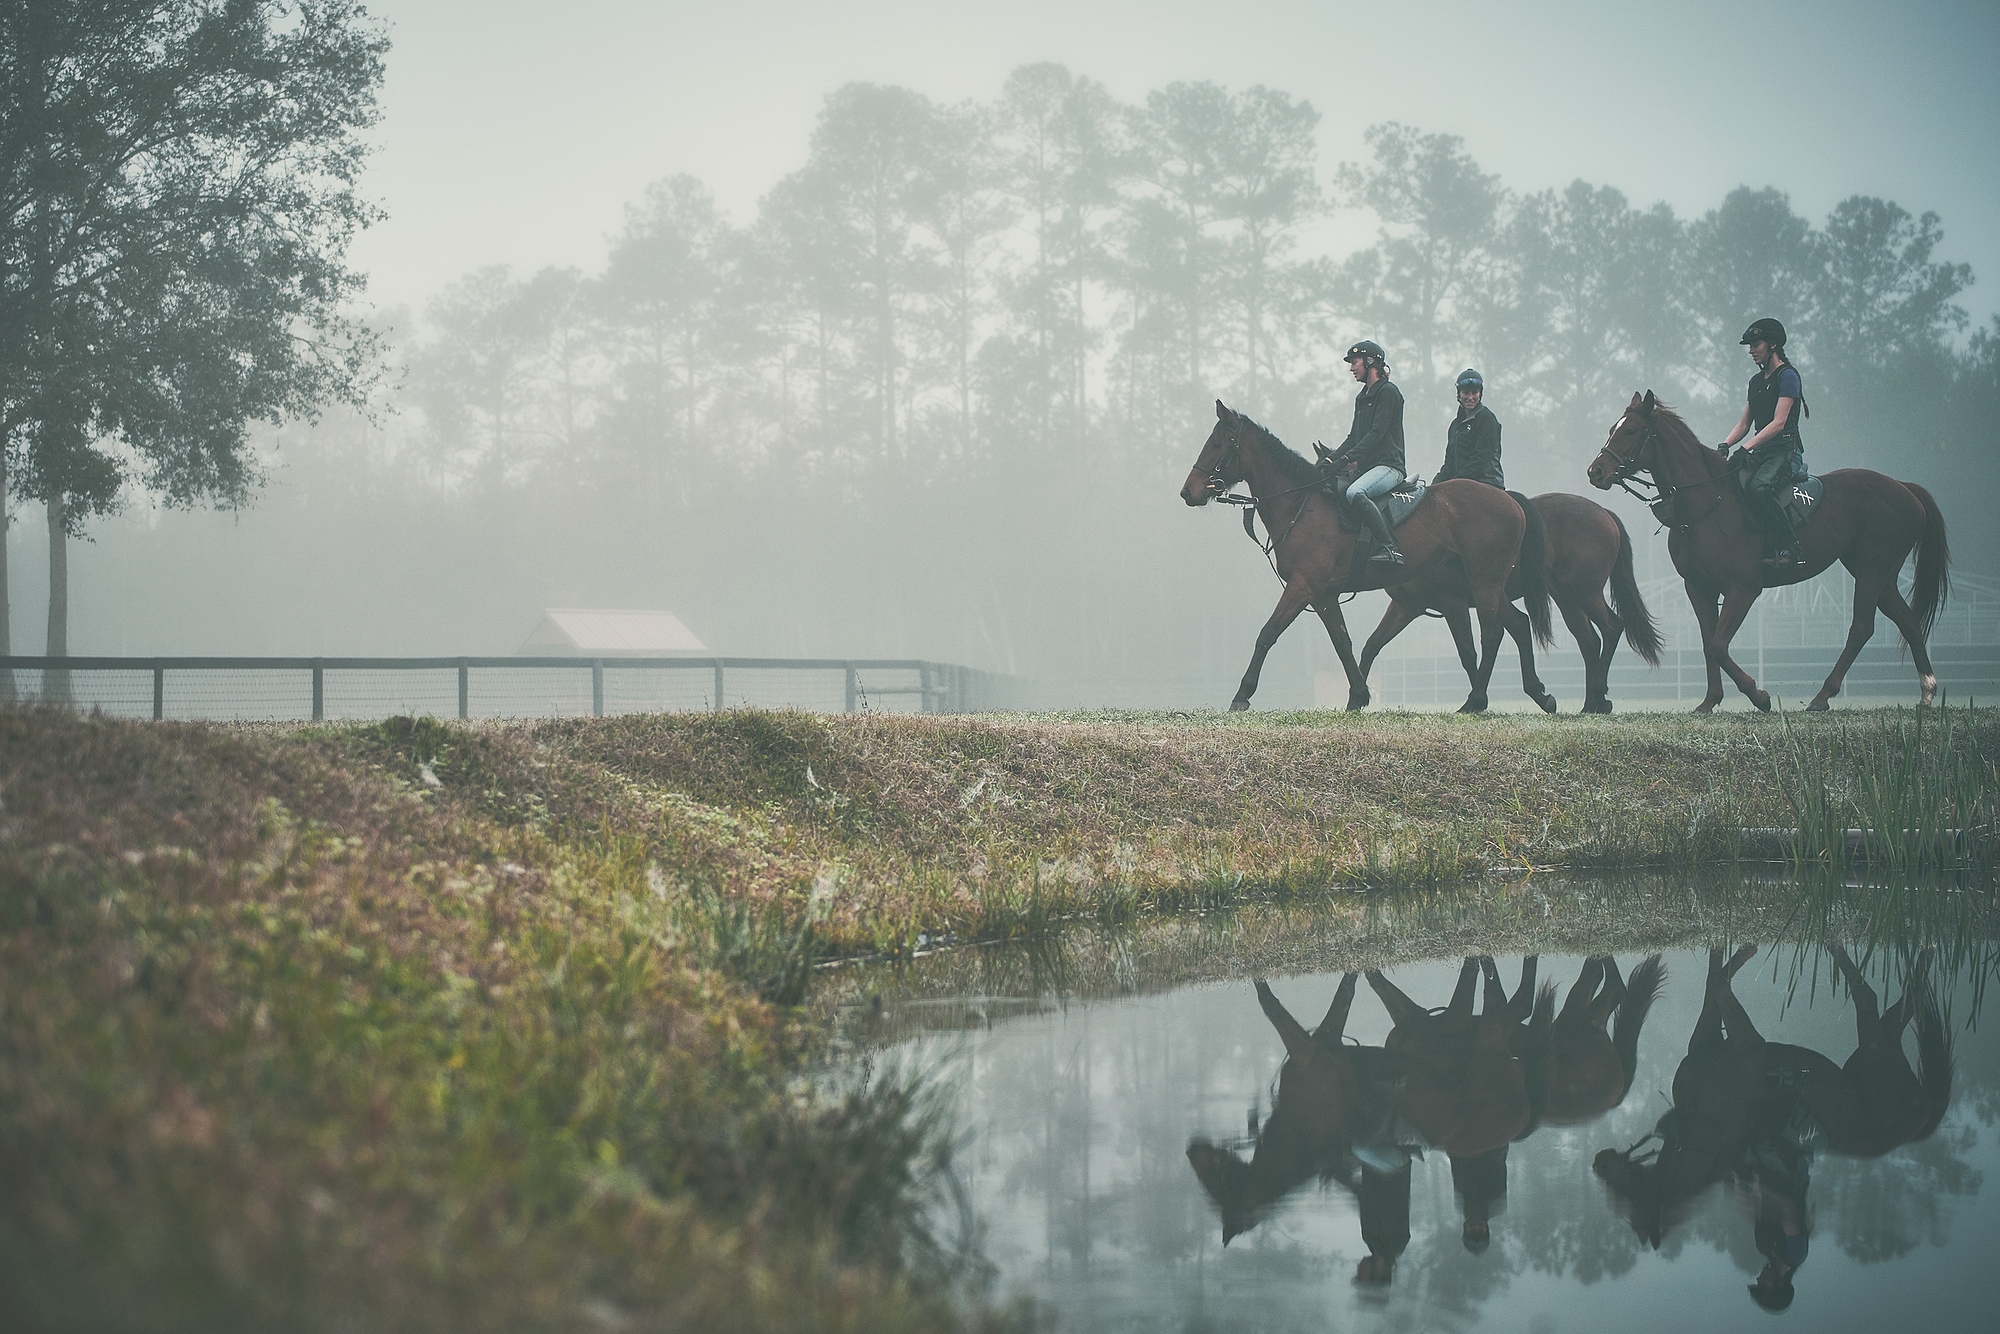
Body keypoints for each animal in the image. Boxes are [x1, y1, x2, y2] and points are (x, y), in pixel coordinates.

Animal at [1184, 400, 1544, 716]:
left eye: (1217, 443)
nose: (1188, 491)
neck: (1301, 505)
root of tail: (1508, 500)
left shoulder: (1303, 587)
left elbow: (1268, 633)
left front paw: (1242, 694)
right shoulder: (1325, 595)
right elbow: (1344, 643)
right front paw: (1358, 696)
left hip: (1484, 583)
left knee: (1493, 634)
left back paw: (1477, 699)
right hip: (1489, 585)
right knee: (1517, 623)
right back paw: (1538, 694)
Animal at [1352, 490, 1664, 716]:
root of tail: (1604, 513)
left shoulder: (1454, 605)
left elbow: (1468, 653)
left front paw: (1477, 699)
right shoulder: (1406, 608)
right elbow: (1372, 645)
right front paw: (1357, 696)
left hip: (1585, 591)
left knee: (1612, 627)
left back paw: (1598, 693)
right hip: (1566, 596)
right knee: (1588, 641)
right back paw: (1591, 703)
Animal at [1584, 392, 1944, 716]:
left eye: (1631, 431)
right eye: (1613, 429)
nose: (1595, 471)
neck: (1707, 504)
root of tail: (1904, 488)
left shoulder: (1744, 589)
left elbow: (1718, 645)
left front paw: (1758, 696)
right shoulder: (1698, 588)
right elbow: (1708, 643)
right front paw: (1709, 701)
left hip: (1871, 570)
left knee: (1861, 628)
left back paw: (1822, 697)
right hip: (1878, 572)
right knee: (1907, 621)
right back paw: (1926, 692)